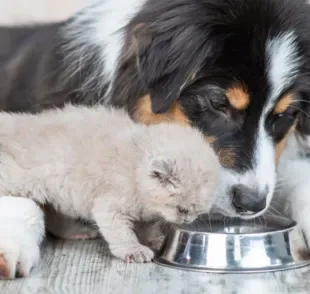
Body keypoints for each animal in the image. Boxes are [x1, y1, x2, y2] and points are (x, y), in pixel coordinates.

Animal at [0, 104, 219, 272]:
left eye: (196, 212)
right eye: (182, 209)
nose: (187, 220)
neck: (134, 166)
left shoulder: (145, 213)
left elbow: (147, 227)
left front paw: (155, 240)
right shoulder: (109, 206)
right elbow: (121, 233)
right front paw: (134, 250)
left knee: (54, 215)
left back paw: (78, 231)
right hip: (21, 180)